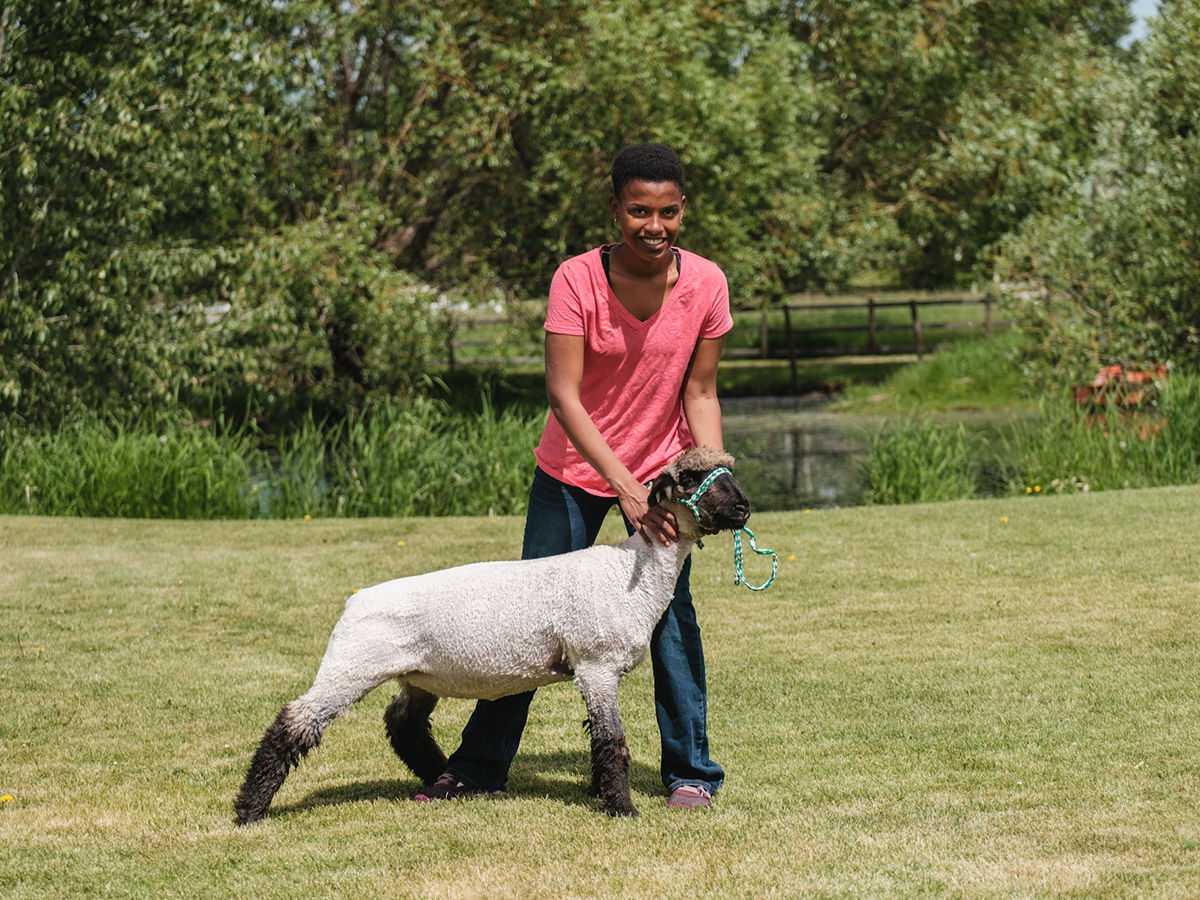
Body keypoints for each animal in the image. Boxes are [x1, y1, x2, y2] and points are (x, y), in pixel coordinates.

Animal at [233, 446, 750, 823]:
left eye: (729, 470)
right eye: (689, 478)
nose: (743, 507)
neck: (631, 572)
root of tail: (354, 601)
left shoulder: (595, 671)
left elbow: (599, 740)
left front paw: (604, 795)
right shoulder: (596, 665)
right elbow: (612, 742)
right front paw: (622, 808)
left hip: (418, 675)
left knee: (402, 722)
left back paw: (440, 776)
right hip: (351, 665)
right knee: (294, 722)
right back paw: (249, 809)